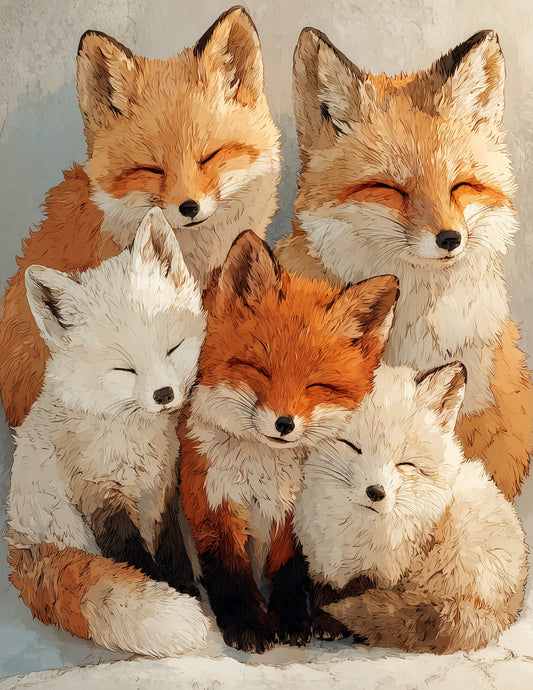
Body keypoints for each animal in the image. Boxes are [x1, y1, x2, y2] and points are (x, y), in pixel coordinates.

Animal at [5, 208, 210, 657]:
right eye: (124, 369)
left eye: (172, 349)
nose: (164, 394)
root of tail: (16, 543)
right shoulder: (100, 496)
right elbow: (132, 560)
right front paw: (162, 589)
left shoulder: (159, 489)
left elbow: (171, 549)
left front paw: (185, 586)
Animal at [178, 229, 399, 654]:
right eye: (260, 370)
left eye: (316, 385)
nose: (285, 423)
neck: (263, 471)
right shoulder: (211, 500)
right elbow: (230, 574)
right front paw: (248, 624)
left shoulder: (298, 513)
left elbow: (291, 572)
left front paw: (293, 621)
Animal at [294, 363, 528, 653]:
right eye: (352, 447)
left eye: (405, 463)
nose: (375, 492)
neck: (350, 531)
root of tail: (507, 609)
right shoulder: (320, 560)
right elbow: (325, 591)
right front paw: (325, 620)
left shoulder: (387, 570)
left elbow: (360, 592)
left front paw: (339, 621)